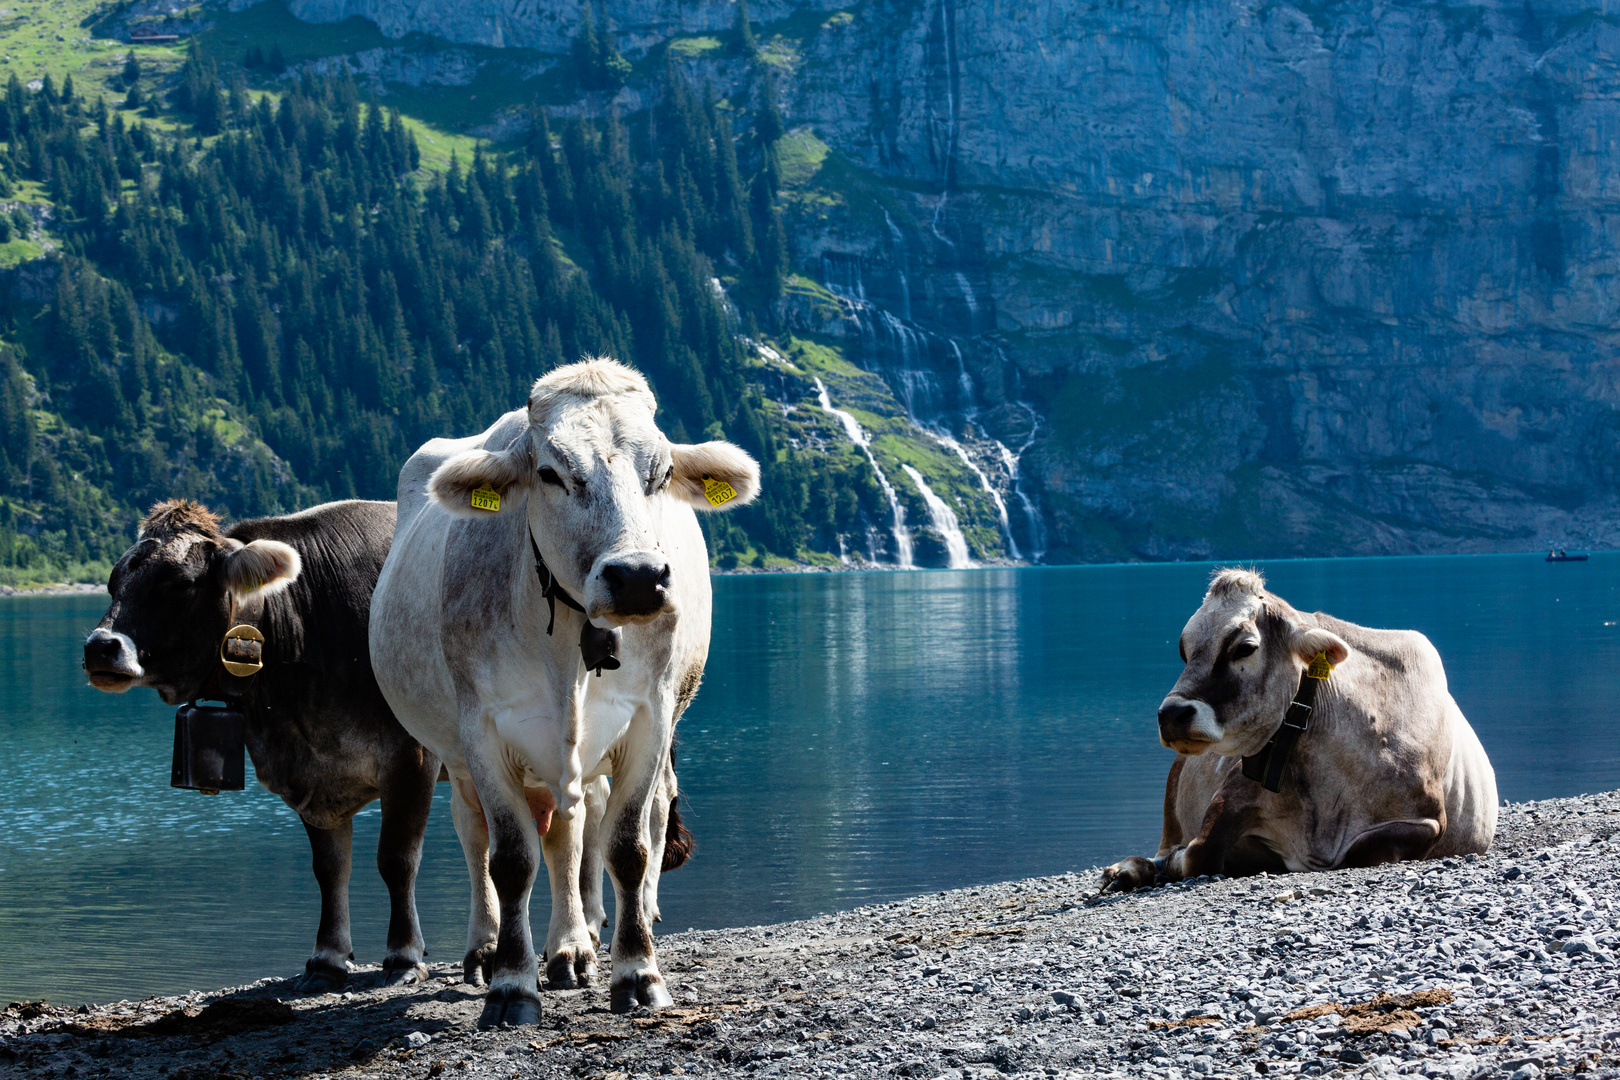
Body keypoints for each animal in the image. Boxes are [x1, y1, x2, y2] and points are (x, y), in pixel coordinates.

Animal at [372, 359, 758, 1029]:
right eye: (550, 473)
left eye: (661, 473)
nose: (638, 577)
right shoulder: (483, 730)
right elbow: (509, 859)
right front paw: (511, 984)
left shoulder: (650, 717)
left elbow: (626, 847)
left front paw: (638, 973)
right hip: (455, 754)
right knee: (479, 834)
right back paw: (488, 949)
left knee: (578, 827)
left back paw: (575, 946)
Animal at [1101, 569, 1490, 893]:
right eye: (1184, 650)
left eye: (1244, 647)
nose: (1171, 715)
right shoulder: (1235, 790)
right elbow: (1200, 851)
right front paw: (1171, 862)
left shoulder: (1428, 819)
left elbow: (1365, 848)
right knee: (1165, 845)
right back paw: (1127, 870)